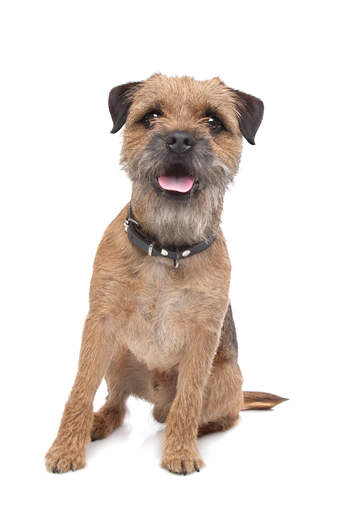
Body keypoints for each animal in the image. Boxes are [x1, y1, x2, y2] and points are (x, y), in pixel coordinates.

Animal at [44, 74, 284, 474]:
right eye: (152, 116)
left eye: (213, 121)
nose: (180, 139)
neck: (167, 249)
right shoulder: (100, 324)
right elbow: (81, 387)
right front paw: (66, 447)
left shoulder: (204, 336)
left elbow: (189, 397)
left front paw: (180, 451)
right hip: (118, 356)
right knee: (116, 404)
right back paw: (98, 422)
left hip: (226, 377)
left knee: (220, 414)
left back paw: (183, 429)